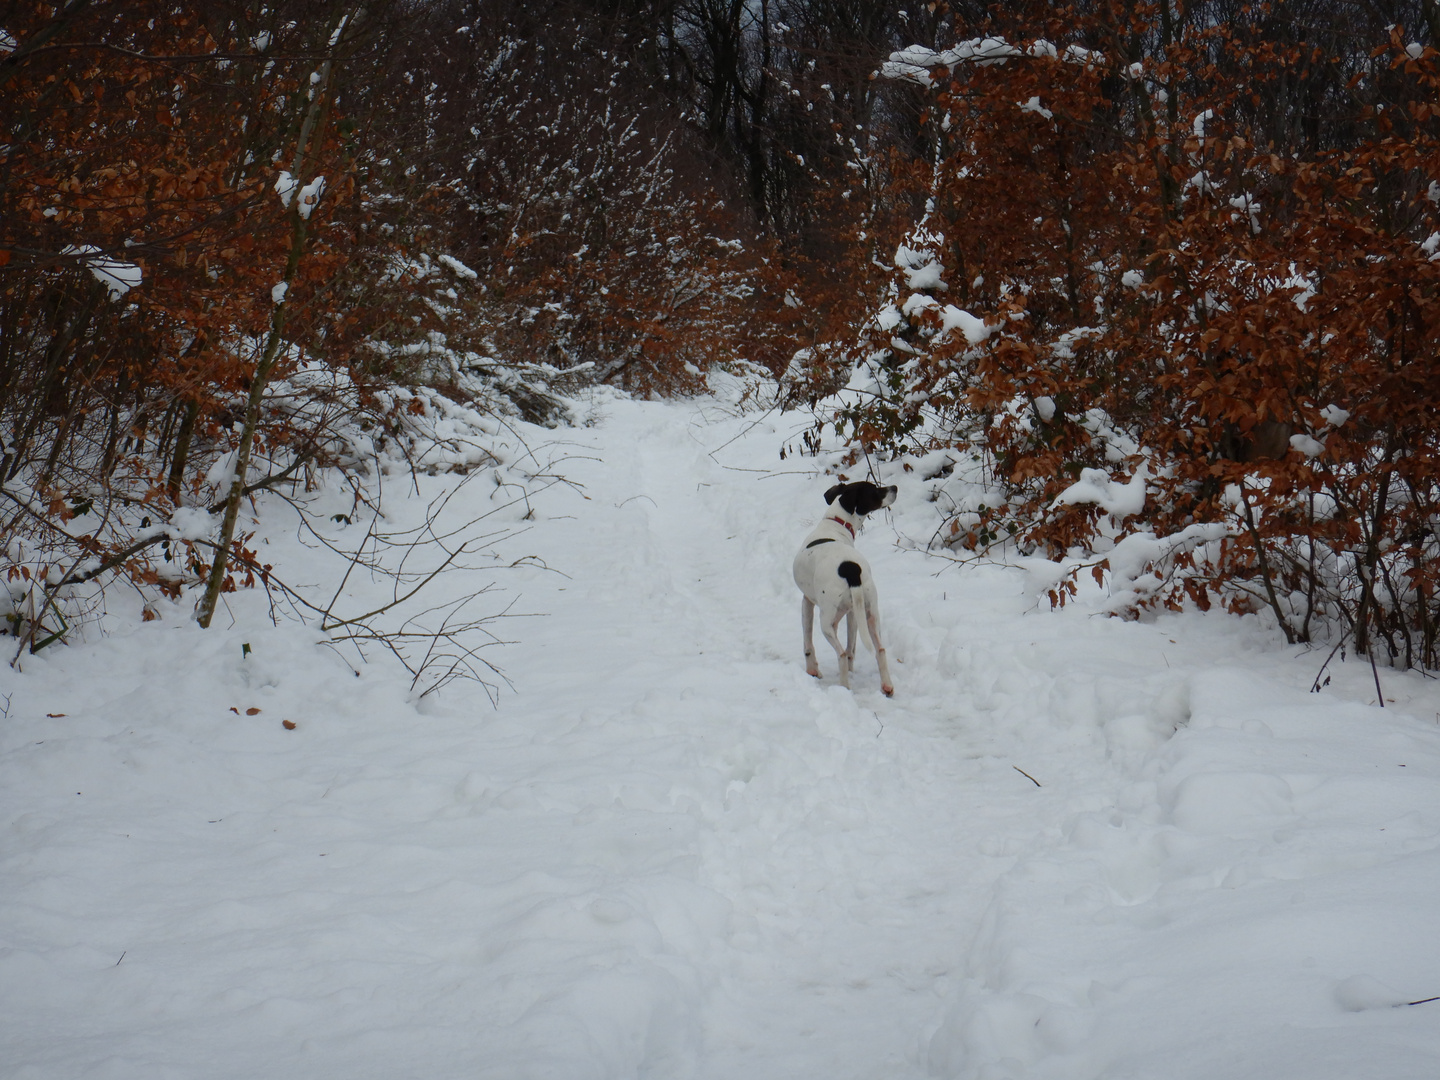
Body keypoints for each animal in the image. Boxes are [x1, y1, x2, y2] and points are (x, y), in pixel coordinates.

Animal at [794, 480, 892, 702]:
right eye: (875, 491)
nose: (895, 488)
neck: (835, 524)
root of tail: (851, 570)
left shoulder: (807, 601)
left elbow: (807, 641)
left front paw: (812, 670)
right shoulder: (852, 613)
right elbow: (851, 647)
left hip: (826, 621)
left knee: (840, 654)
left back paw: (845, 687)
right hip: (870, 614)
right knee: (879, 650)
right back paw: (887, 686)